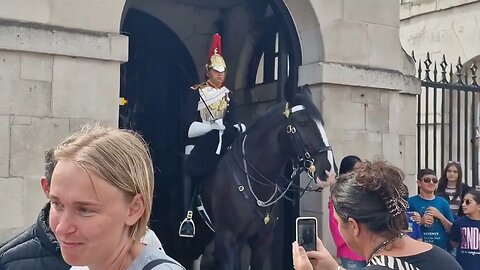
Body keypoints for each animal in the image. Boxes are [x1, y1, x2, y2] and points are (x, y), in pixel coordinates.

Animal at [189, 86, 336, 268]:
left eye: (322, 123)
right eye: (302, 122)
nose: (329, 172)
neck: (255, 183)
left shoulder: (262, 241)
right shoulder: (227, 238)